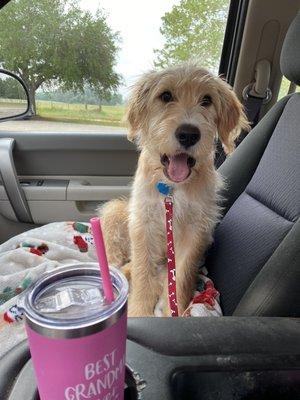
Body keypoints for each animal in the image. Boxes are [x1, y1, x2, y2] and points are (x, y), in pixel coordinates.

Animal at [101, 63, 248, 316]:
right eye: (166, 96)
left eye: (207, 100)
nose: (188, 134)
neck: (172, 190)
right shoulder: (143, 223)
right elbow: (142, 273)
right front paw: (139, 311)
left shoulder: (196, 229)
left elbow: (182, 275)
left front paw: (174, 310)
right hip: (115, 211)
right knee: (126, 262)